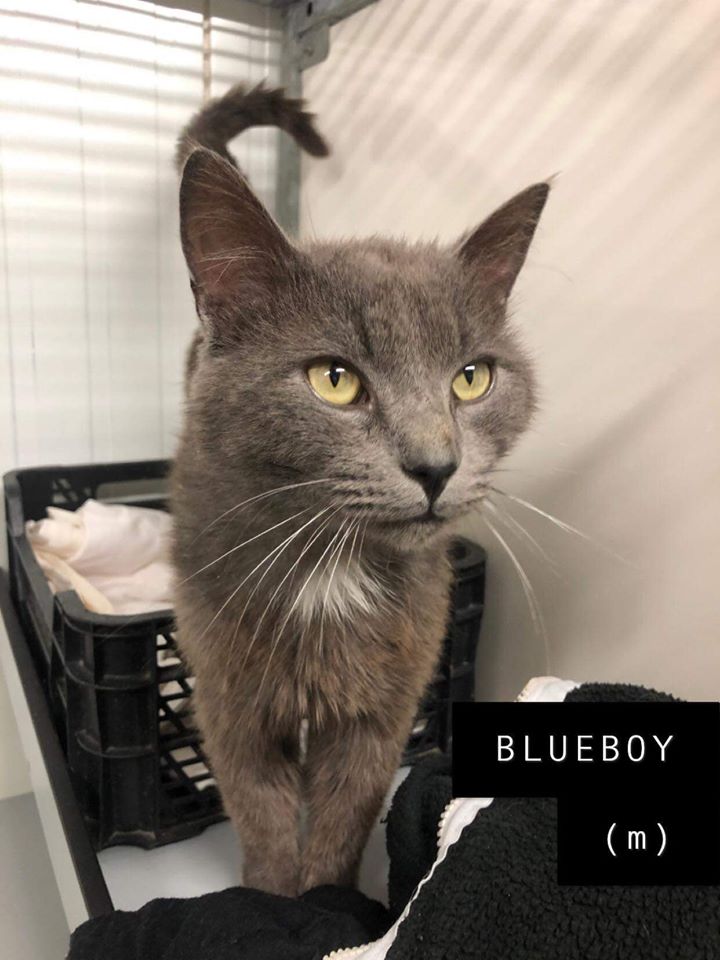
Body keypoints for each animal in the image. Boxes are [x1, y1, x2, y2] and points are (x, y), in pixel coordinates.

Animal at [171, 83, 548, 897]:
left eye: (472, 377)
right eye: (334, 380)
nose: (436, 465)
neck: (330, 569)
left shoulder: (389, 696)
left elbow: (348, 811)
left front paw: (326, 897)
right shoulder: (231, 695)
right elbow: (261, 810)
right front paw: (272, 899)